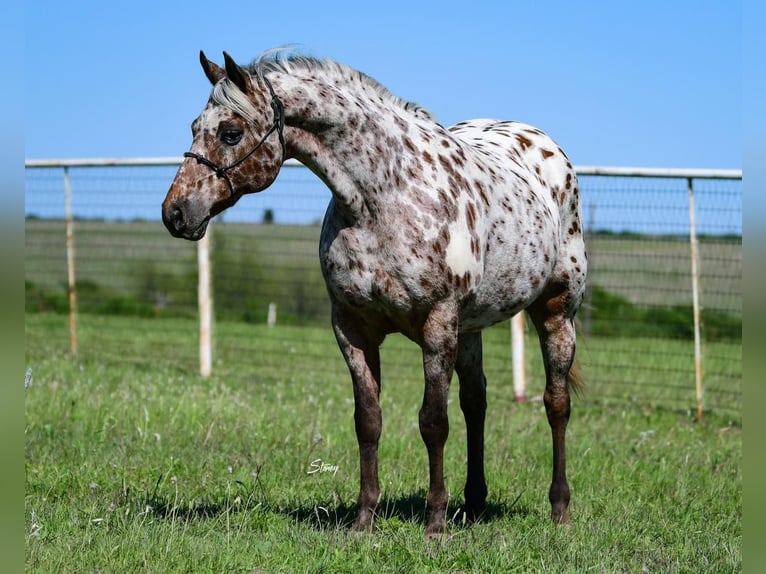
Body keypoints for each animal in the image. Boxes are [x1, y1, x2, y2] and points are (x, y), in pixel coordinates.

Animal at [164, 50, 588, 540]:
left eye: (230, 133)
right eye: (195, 126)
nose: (175, 213)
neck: (383, 199)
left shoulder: (437, 325)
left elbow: (433, 422)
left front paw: (435, 523)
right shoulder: (353, 329)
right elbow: (368, 420)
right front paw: (364, 519)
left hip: (555, 313)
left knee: (556, 405)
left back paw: (560, 509)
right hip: (470, 329)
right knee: (476, 403)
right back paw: (474, 503)